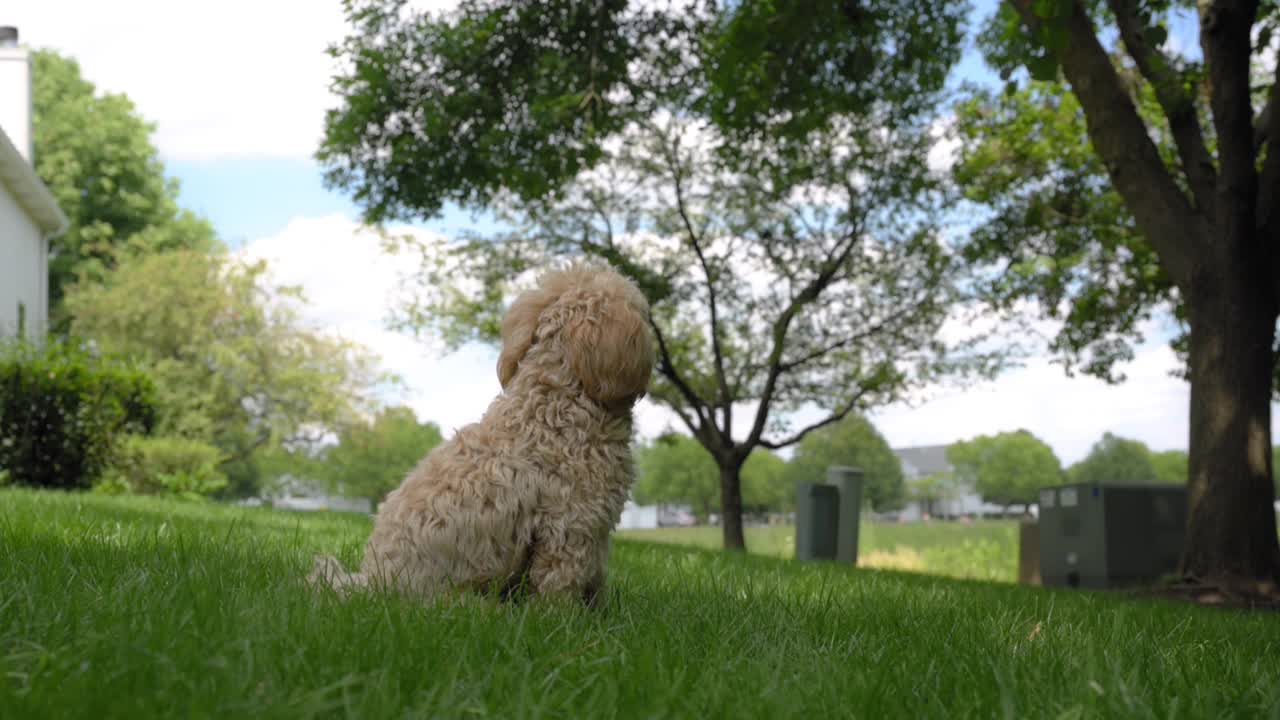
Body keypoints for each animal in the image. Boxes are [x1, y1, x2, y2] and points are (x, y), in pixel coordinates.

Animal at [307, 260, 650, 602]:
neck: (557, 402)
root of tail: (372, 580)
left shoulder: (592, 531)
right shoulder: (572, 525)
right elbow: (560, 584)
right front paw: (566, 615)